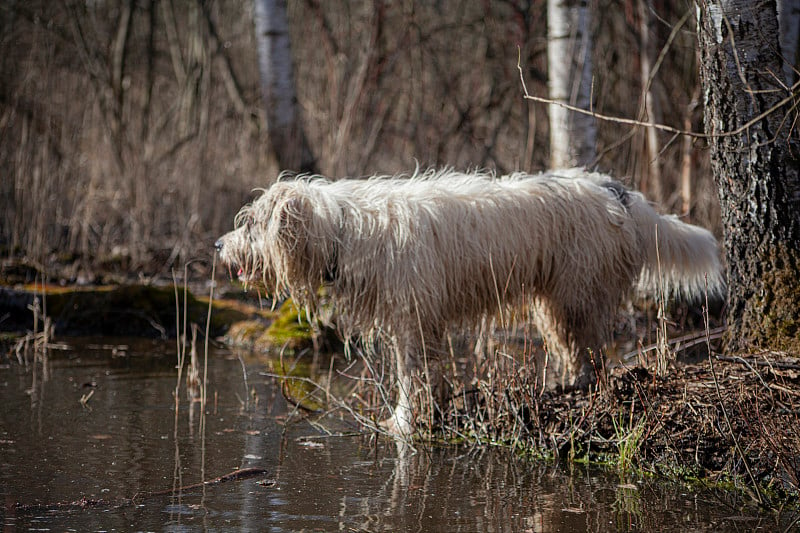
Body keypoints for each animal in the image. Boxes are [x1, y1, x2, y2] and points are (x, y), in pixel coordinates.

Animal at [216, 168, 720, 434]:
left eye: (252, 223)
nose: (219, 245)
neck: (343, 229)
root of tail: (615, 189)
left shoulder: (412, 319)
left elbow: (411, 374)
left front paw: (403, 422)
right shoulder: (419, 319)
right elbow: (428, 371)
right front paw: (432, 409)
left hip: (579, 293)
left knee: (594, 348)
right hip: (556, 301)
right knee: (578, 350)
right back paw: (570, 386)